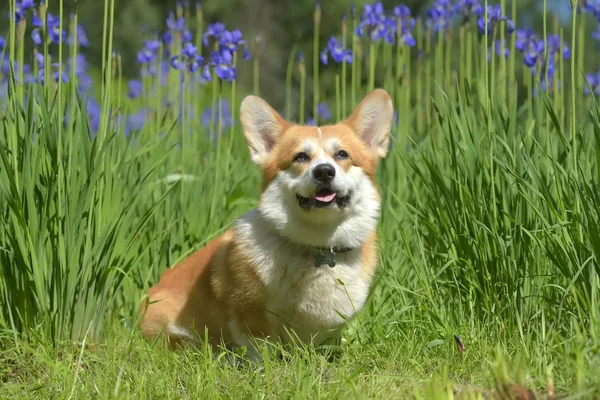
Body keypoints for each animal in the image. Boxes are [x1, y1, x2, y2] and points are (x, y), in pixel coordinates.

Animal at [140, 89, 394, 358]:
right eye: (301, 157)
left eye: (342, 154)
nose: (324, 171)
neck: (319, 247)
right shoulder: (250, 314)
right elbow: (261, 346)